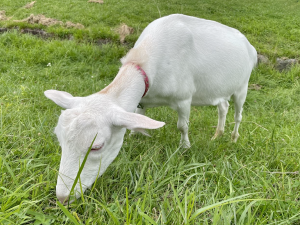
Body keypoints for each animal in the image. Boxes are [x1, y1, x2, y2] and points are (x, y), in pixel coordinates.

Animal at [44, 14, 255, 204]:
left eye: (97, 146)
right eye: (59, 139)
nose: (63, 198)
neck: (145, 59)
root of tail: (249, 46)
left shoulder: (184, 98)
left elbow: (182, 126)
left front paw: (185, 147)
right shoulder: (142, 101)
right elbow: (137, 120)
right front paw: (135, 137)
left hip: (242, 86)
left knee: (238, 113)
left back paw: (233, 137)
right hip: (220, 90)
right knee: (223, 107)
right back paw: (217, 134)